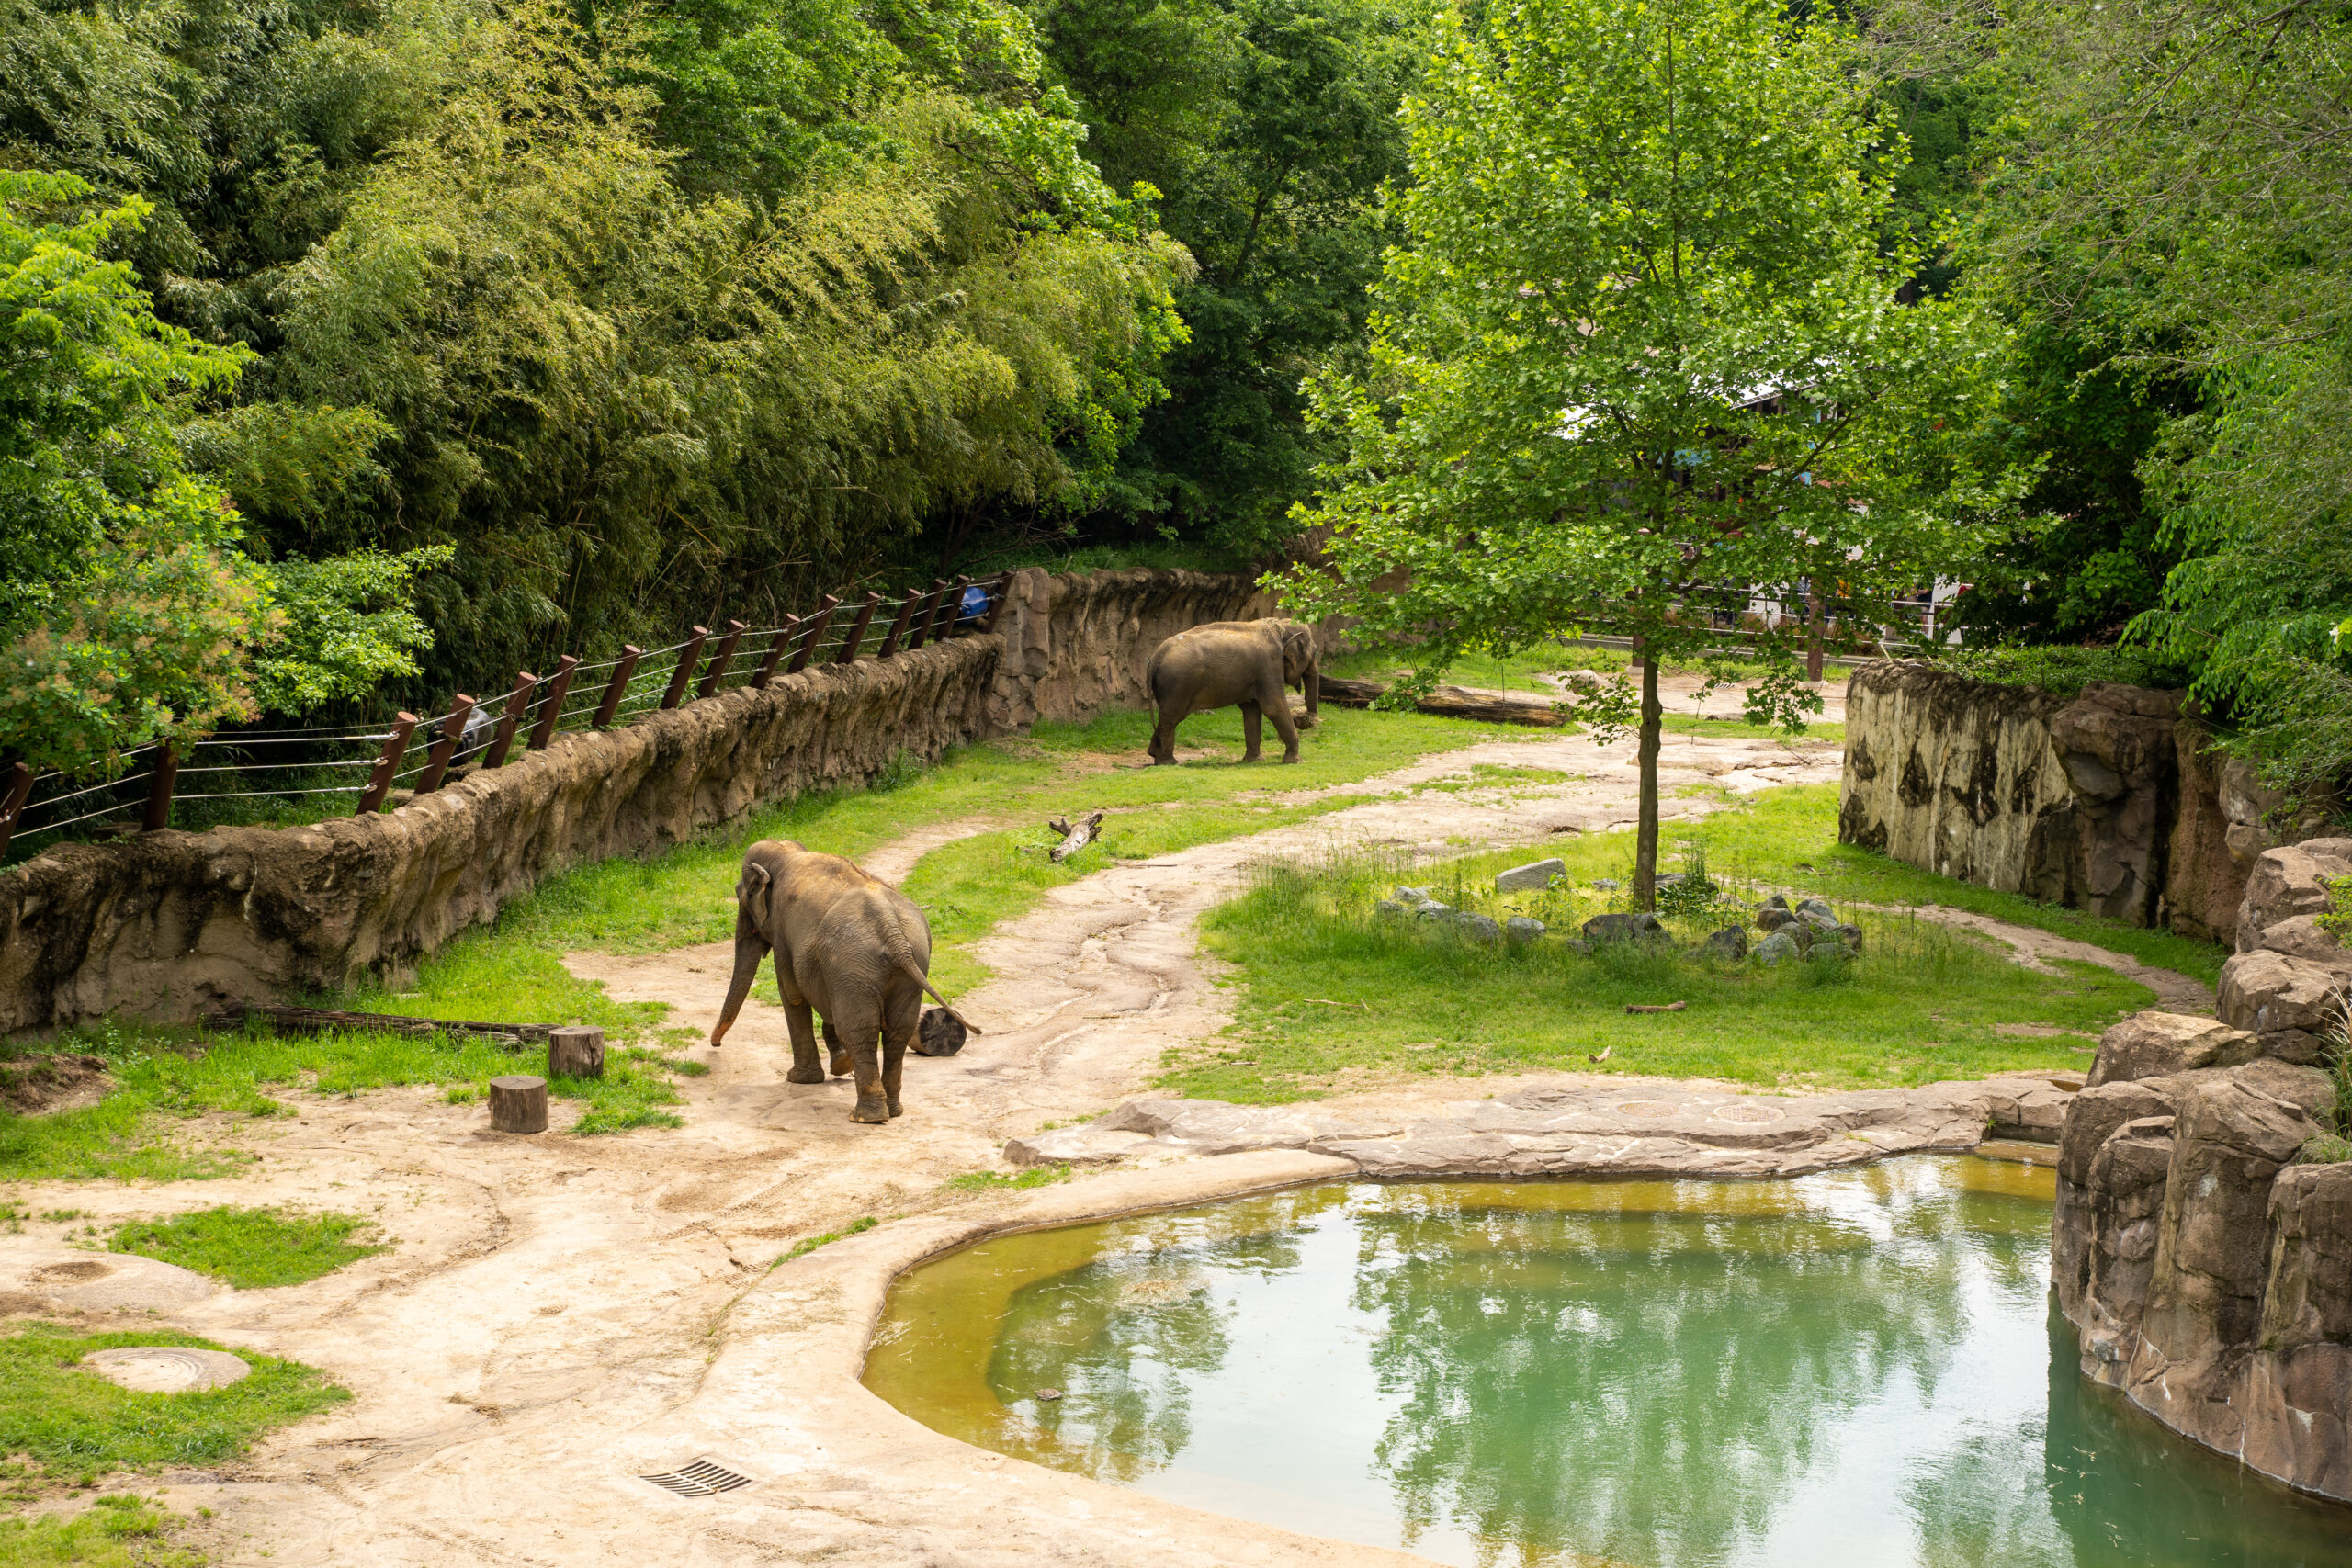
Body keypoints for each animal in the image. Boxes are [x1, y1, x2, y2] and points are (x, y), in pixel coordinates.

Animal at [710, 841, 978, 1123]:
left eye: (741, 895)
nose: (716, 1045)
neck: (789, 851)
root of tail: (892, 931)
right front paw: (840, 1064)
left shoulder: (783, 932)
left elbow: (793, 994)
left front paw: (800, 1079)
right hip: (903, 963)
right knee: (898, 1032)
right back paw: (892, 1111)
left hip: (854, 964)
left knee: (859, 1032)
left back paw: (866, 1117)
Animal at [1143, 615, 1317, 761]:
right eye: (1314, 654)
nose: (1307, 719)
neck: (1279, 626)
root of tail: (1155, 658)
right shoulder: (1269, 666)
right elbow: (1274, 707)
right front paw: (1296, 761)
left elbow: (1251, 709)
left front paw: (1254, 761)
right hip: (1177, 684)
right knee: (1172, 718)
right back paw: (1168, 762)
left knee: (1168, 717)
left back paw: (1154, 754)